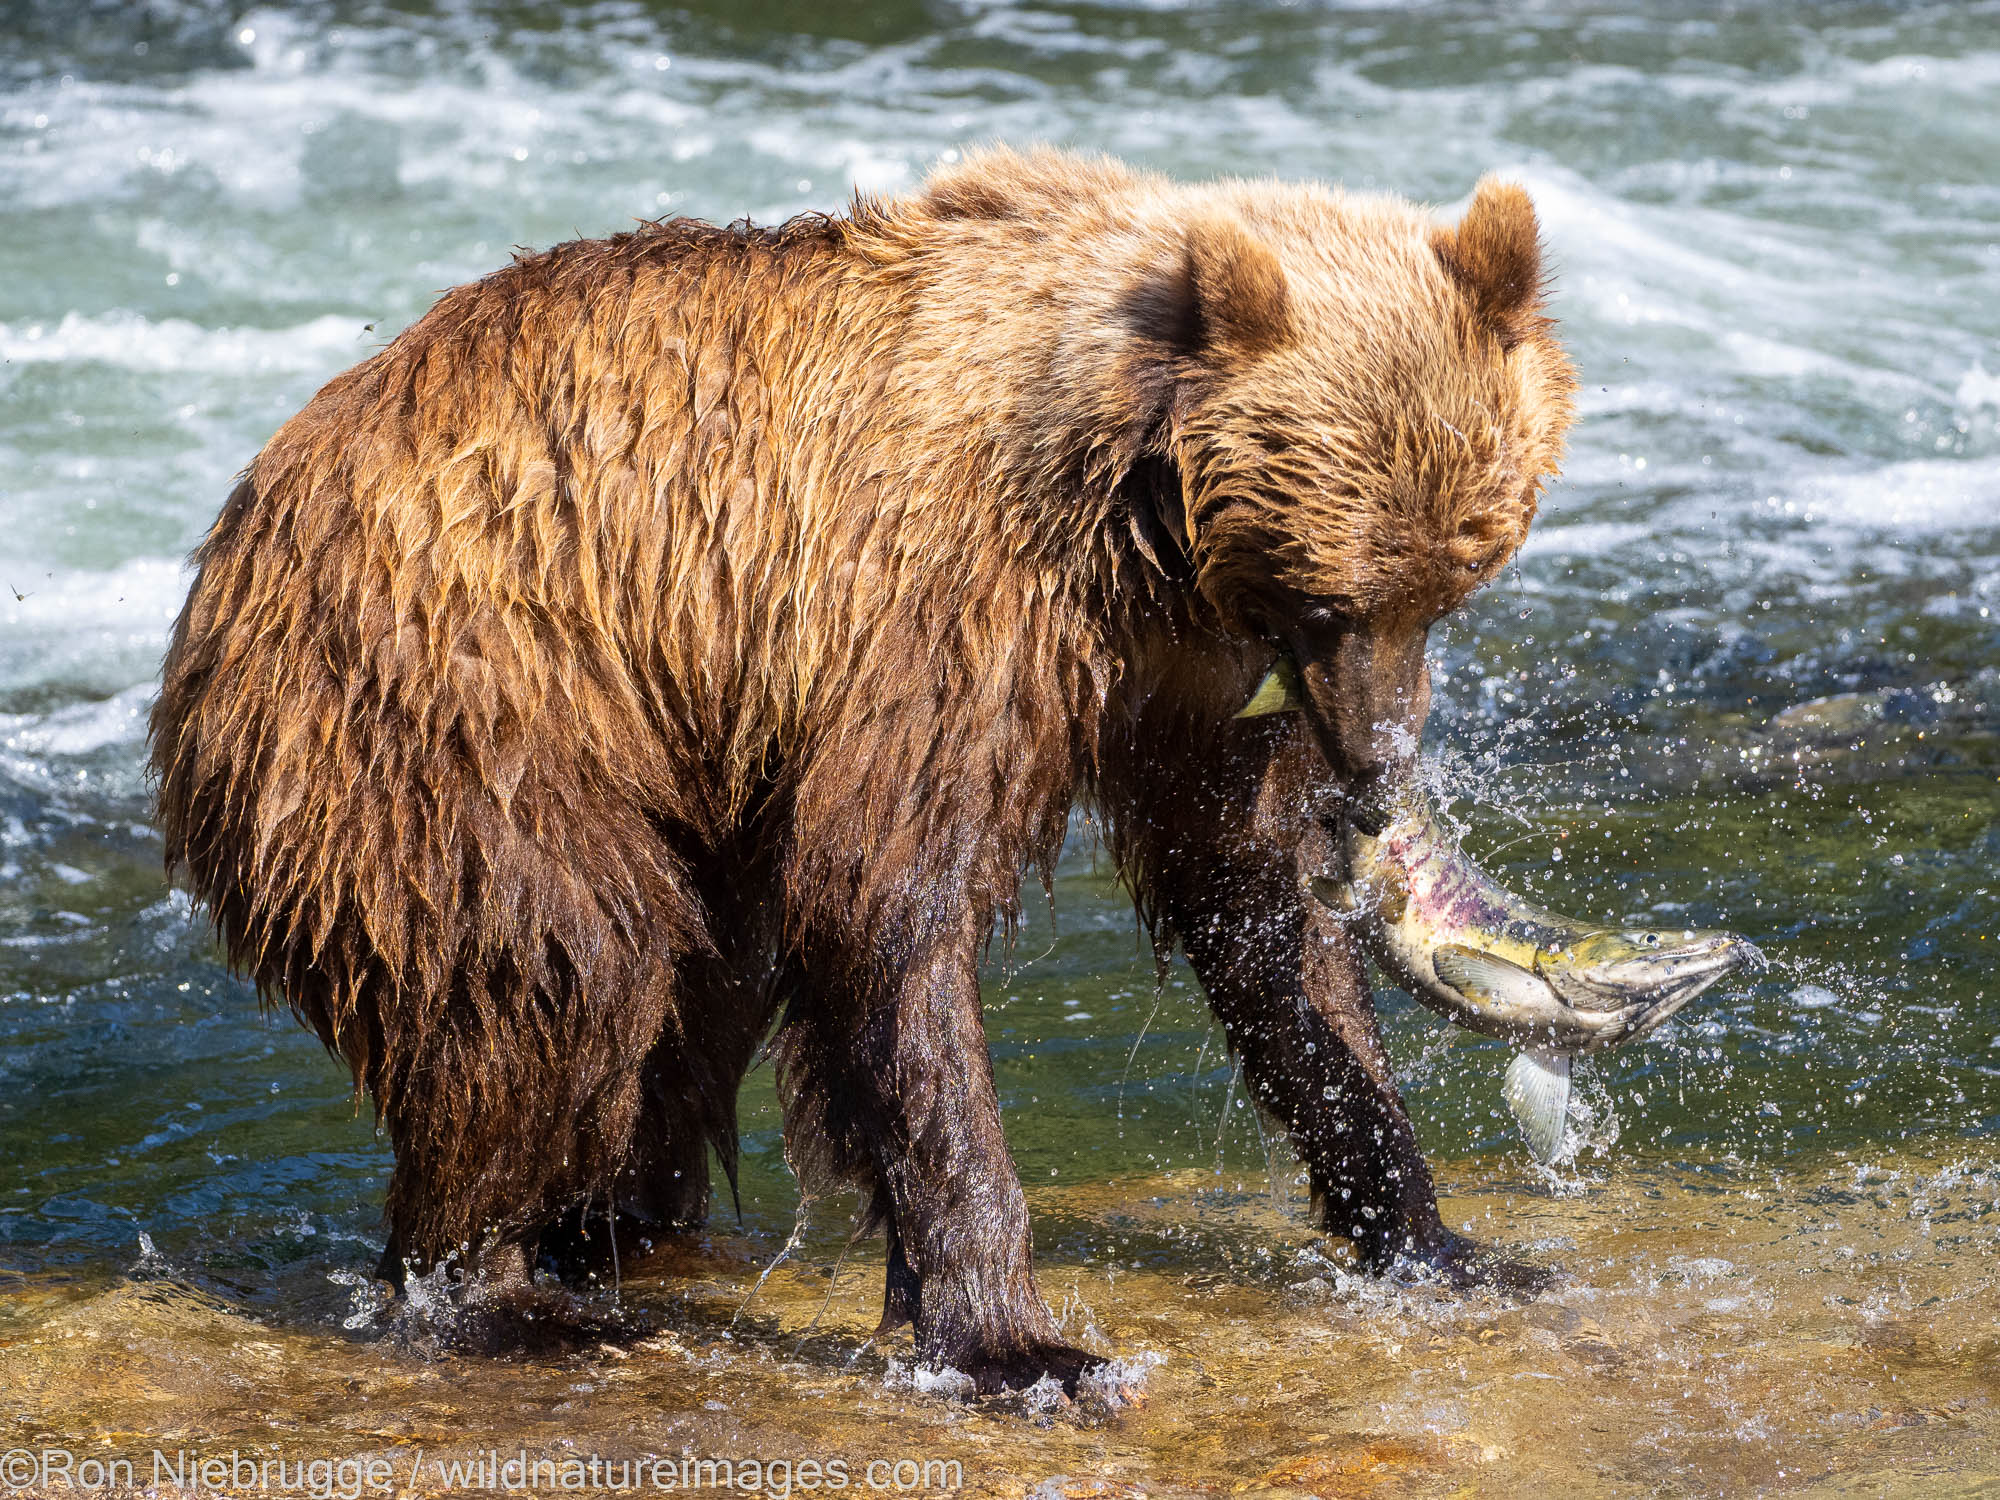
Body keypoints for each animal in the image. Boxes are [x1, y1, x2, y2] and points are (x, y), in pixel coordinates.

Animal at [148, 147, 1568, 1392]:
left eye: (1448, 583)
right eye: (1332, 598)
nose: (1377, 766)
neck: (1137, 509)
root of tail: (228, 544)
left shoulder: (1186, 669)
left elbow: (1250, 899)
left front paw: (1430, 1233)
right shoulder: (944, 601)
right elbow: (891, 899)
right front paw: (1018, 1341)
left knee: (691, 995)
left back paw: (614, 1233)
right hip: (455, 708)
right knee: (559, 967)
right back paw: (494, 1293)